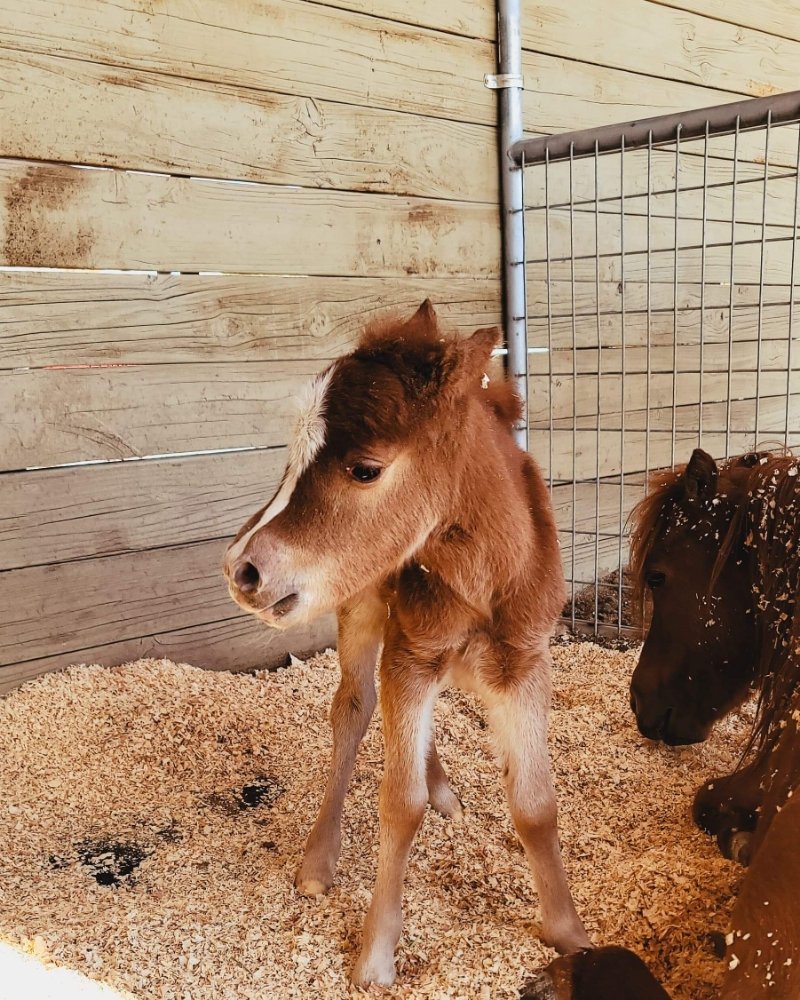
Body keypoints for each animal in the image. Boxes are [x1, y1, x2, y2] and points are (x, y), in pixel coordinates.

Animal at [223, 300, 590, 986]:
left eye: (364, 468)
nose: (242, 570)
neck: (484, 575)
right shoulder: (410, 653)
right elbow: (399, 802)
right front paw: (376, 954)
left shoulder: (526, 664)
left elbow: (535, 804)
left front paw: (570, 934)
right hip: (364, 603)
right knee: (353, 707)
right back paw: (319, 860)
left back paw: (442, 787)